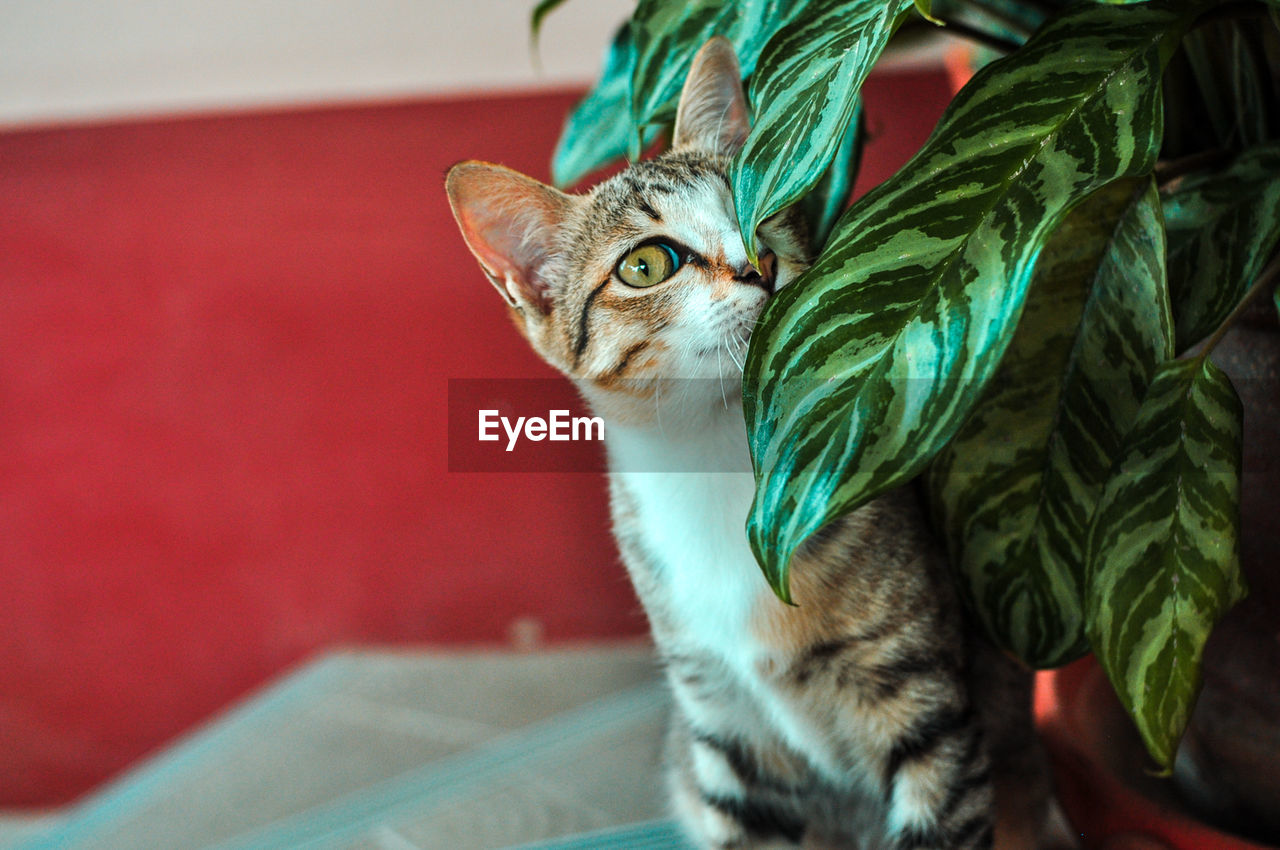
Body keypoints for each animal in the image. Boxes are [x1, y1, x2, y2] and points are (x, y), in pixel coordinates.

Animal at [448, 36, 1049, 850]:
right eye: (645, 264)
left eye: (761, 207)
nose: (759, 265)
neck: (721, 466)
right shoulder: (723, 723)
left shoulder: (924, 703)